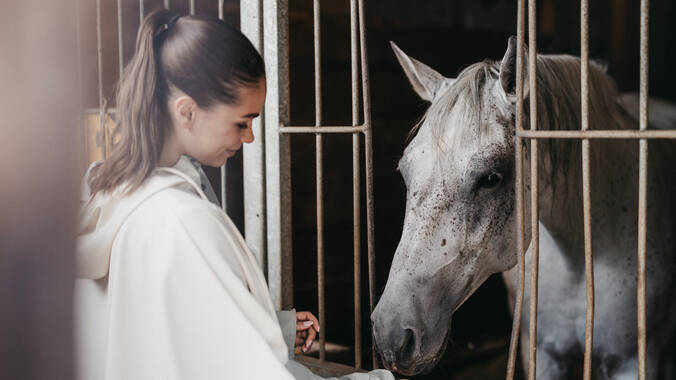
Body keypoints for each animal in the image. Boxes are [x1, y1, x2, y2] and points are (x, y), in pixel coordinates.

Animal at [370, 36, 676, 380]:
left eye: (491, 178)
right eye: (405, 171)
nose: (392, 334)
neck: (577, 259)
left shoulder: (633, 362)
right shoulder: (541, 356)